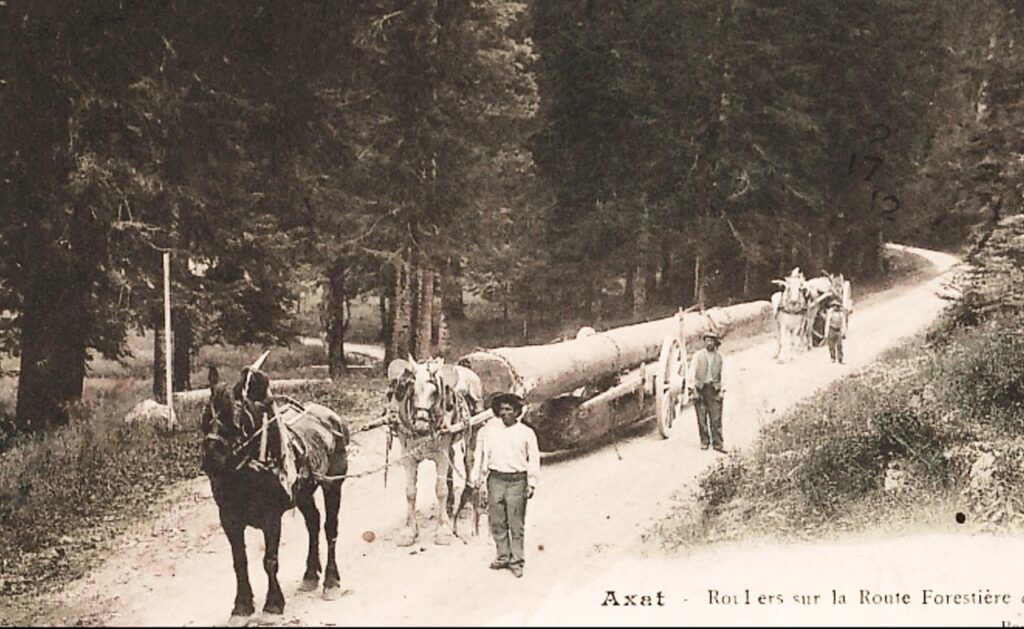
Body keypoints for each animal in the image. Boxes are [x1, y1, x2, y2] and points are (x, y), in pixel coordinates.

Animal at [199, 362, 352, 622]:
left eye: (235, 420)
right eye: (205, 418)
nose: (211, 457)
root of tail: (331, 417)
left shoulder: (271, 518)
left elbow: (269, 561)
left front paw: (273, 604)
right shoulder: (229, 519)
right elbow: (239, 562)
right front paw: (241, 606)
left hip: (334, 484)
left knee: (330, 527)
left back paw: (331, 581)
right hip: (303, 493)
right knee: (313, 522)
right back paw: (310, 574)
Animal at [385, 360, 481, 549]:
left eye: (435, 392)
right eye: (411, 390)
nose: (421, 425)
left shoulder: (441, 456)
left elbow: (440, 490)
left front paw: (443, 531)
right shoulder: (408, 457)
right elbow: (410, 492)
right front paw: (409, 531)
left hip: (471, 432)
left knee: (468, 460)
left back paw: (466, 495)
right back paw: (451, 505)